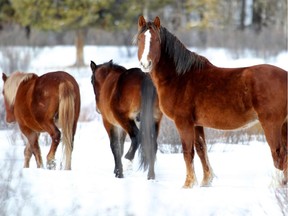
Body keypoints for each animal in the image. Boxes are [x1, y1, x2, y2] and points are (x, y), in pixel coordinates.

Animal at [136, 15, 286, 187]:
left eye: (156, 40)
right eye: (140, 39)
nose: (145, 64)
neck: (179, 77)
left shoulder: (183, 122)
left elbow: (187, 152)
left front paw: (188, 184)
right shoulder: (196, 124)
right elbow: (201, 149)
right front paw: (205, 182)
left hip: (271, 124)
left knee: (278, 154)